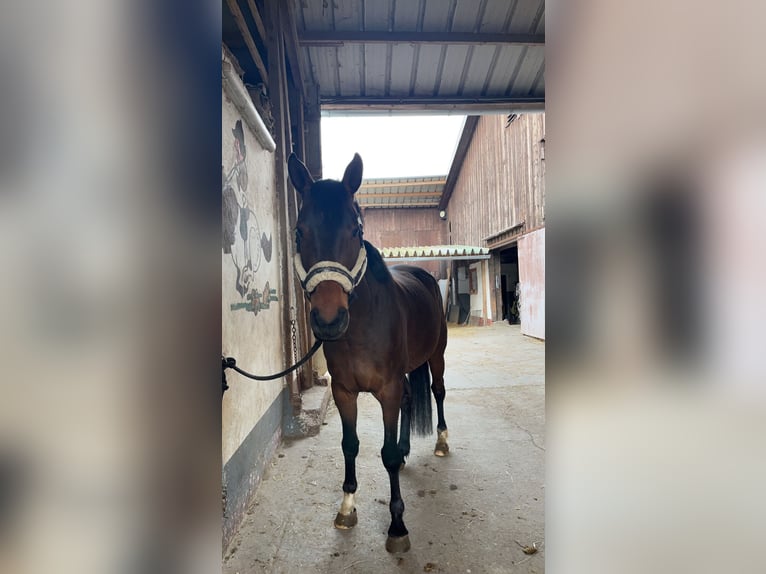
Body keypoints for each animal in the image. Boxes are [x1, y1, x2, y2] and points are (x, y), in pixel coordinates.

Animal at [287, 152, 450, 553]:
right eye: (299, 232)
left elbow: (385, 455)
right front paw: (346, 508)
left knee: (437, 391)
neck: (360, 328)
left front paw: (397, 527)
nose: (329, 320)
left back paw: (441, 441)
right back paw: (408, 448)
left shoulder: (386, 390)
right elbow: (350, 445)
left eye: (355, 231)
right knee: (410, 398)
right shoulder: (344, 392)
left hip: (436, 355)